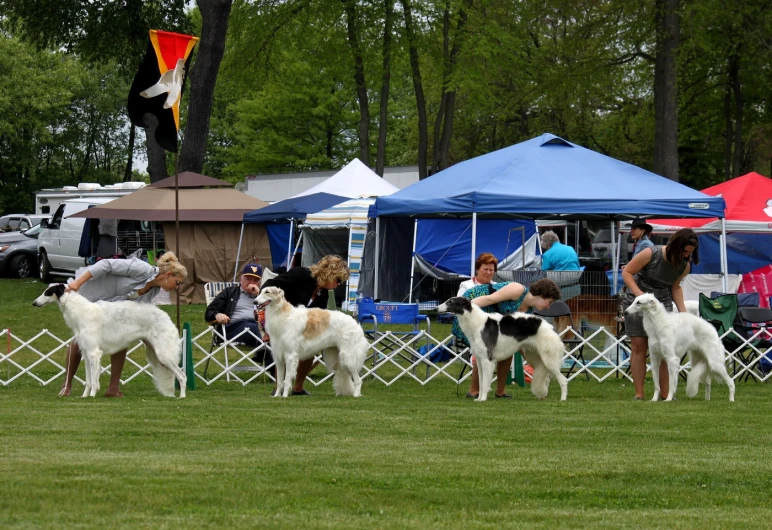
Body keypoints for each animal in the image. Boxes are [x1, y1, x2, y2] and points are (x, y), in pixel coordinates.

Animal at [32, 284, 186, 396]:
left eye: (47, 292)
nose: (34, 303)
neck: (81, 311)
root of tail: (166, 317)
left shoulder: (94, 353)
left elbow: (94, 381)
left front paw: (92, 396)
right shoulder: (86, 353)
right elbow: (88, 381)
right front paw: (84, 397)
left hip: (163, 355)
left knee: (182, 376)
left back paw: (182, 397)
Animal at [438, 296, 568, 400]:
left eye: (450, 301)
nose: (436, 309)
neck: (477, 324)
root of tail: (549, 327)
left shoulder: (487, 360)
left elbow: (485, 383)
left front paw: (483, 399)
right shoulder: (479, 360)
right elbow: (481, 383)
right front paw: (478, 399)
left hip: (549, 359)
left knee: (563, 380)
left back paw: (562, 399)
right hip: (536, 358)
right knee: (547, 379)